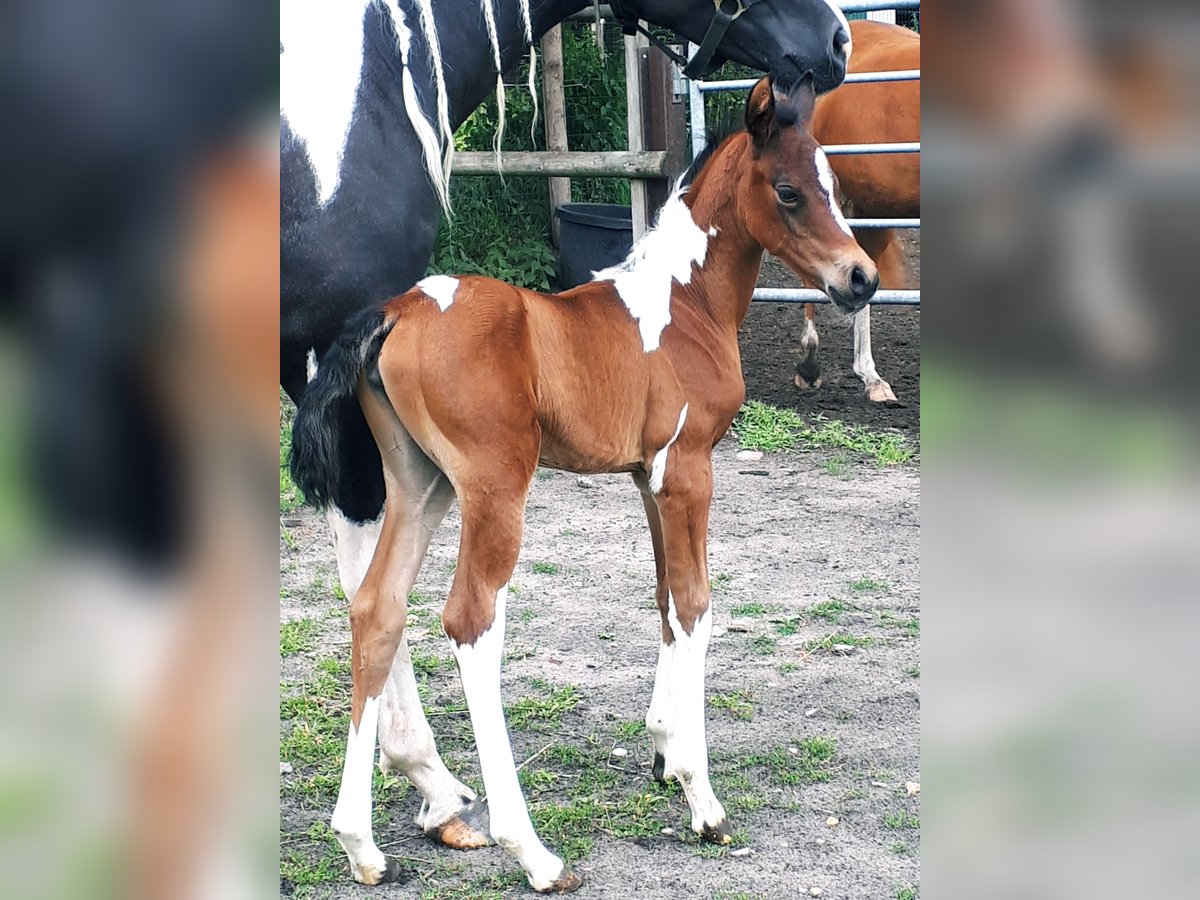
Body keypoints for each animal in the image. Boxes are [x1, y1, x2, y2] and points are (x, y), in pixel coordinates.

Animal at [278, 0, 854, 888]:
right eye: (789, 191)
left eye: (833, 182)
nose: (861, 279)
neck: (682, 302)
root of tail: (397, 311)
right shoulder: (689, 469)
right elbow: (697, 604)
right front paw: (700, 796)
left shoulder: (648, 477)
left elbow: (665, 599)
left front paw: (663, 752)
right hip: (493, 489)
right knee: (471, 622)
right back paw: (533, 852)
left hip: (419, 484)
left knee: (378, 607)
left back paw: (364, 843)